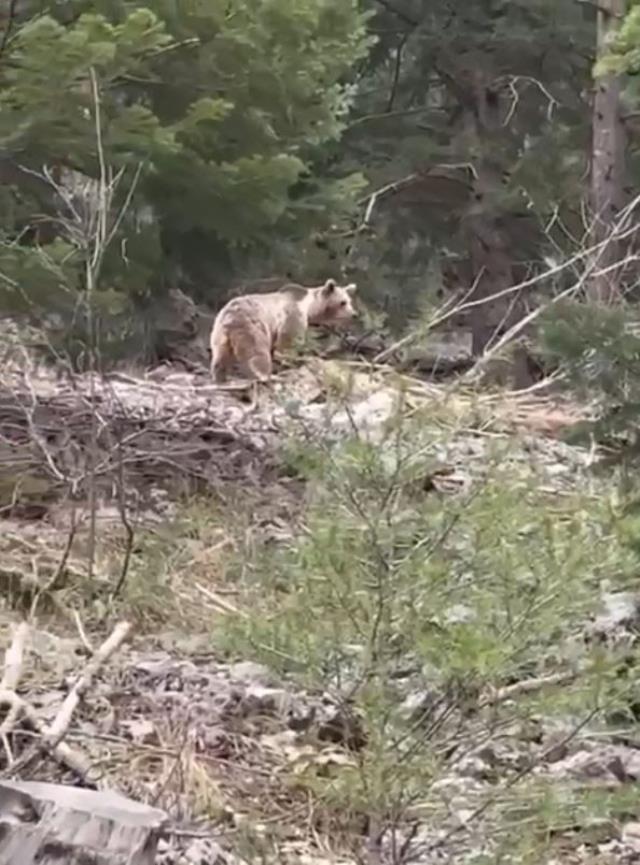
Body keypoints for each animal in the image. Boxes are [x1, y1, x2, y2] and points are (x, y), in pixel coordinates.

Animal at [211, 280, 358, 382]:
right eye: (342, 302)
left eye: (349, 301)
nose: (354, 314)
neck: (309, 307)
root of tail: (230, 317)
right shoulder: (293, 314)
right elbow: (287, 343)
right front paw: (290, 361)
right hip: (251, 327)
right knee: (257, 352)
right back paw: (265, 376)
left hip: (219, 333)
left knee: (220, 356)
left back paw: (219, 376)